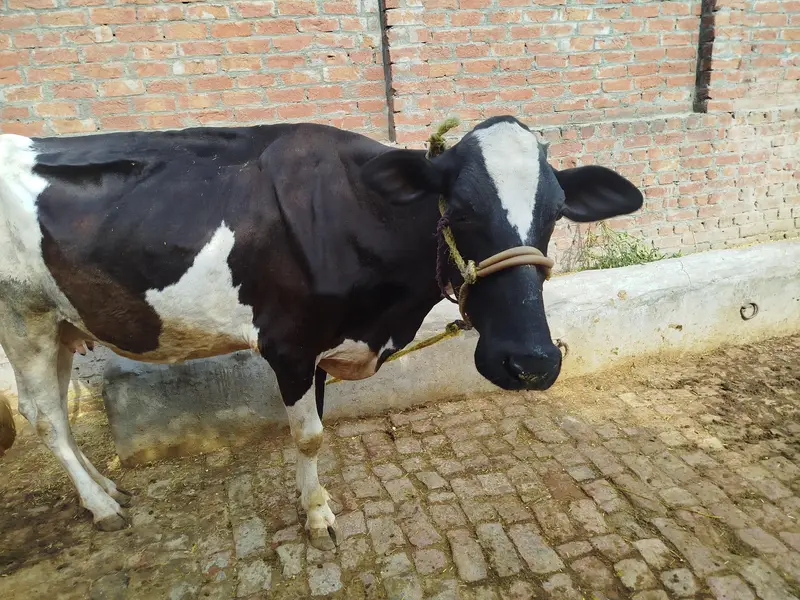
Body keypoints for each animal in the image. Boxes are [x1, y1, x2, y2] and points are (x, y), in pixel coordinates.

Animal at [0, 115, 643, 549]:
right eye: (457, 209)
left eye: (555, 213)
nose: (530, 361)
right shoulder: (288, 344)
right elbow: (309, 435)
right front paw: (317, 516)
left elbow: (318, 424)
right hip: (22, 316)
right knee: (45, 416)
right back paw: (101, 507)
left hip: (60, 321)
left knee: (53, 409)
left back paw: (108, 488)